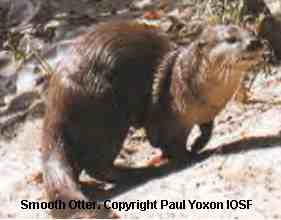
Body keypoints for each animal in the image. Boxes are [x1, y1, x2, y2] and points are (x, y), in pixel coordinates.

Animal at [41, 20, 264, 218]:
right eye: (231, 39)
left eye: (251, 32)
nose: (254, 42)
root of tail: (55, 105)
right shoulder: (165, 115)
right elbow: (167, 142)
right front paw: (186, 155)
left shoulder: (207, 115)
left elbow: (206, 130)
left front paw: (198, 144)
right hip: (106, 112)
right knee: (97, 164)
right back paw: (141, 172)